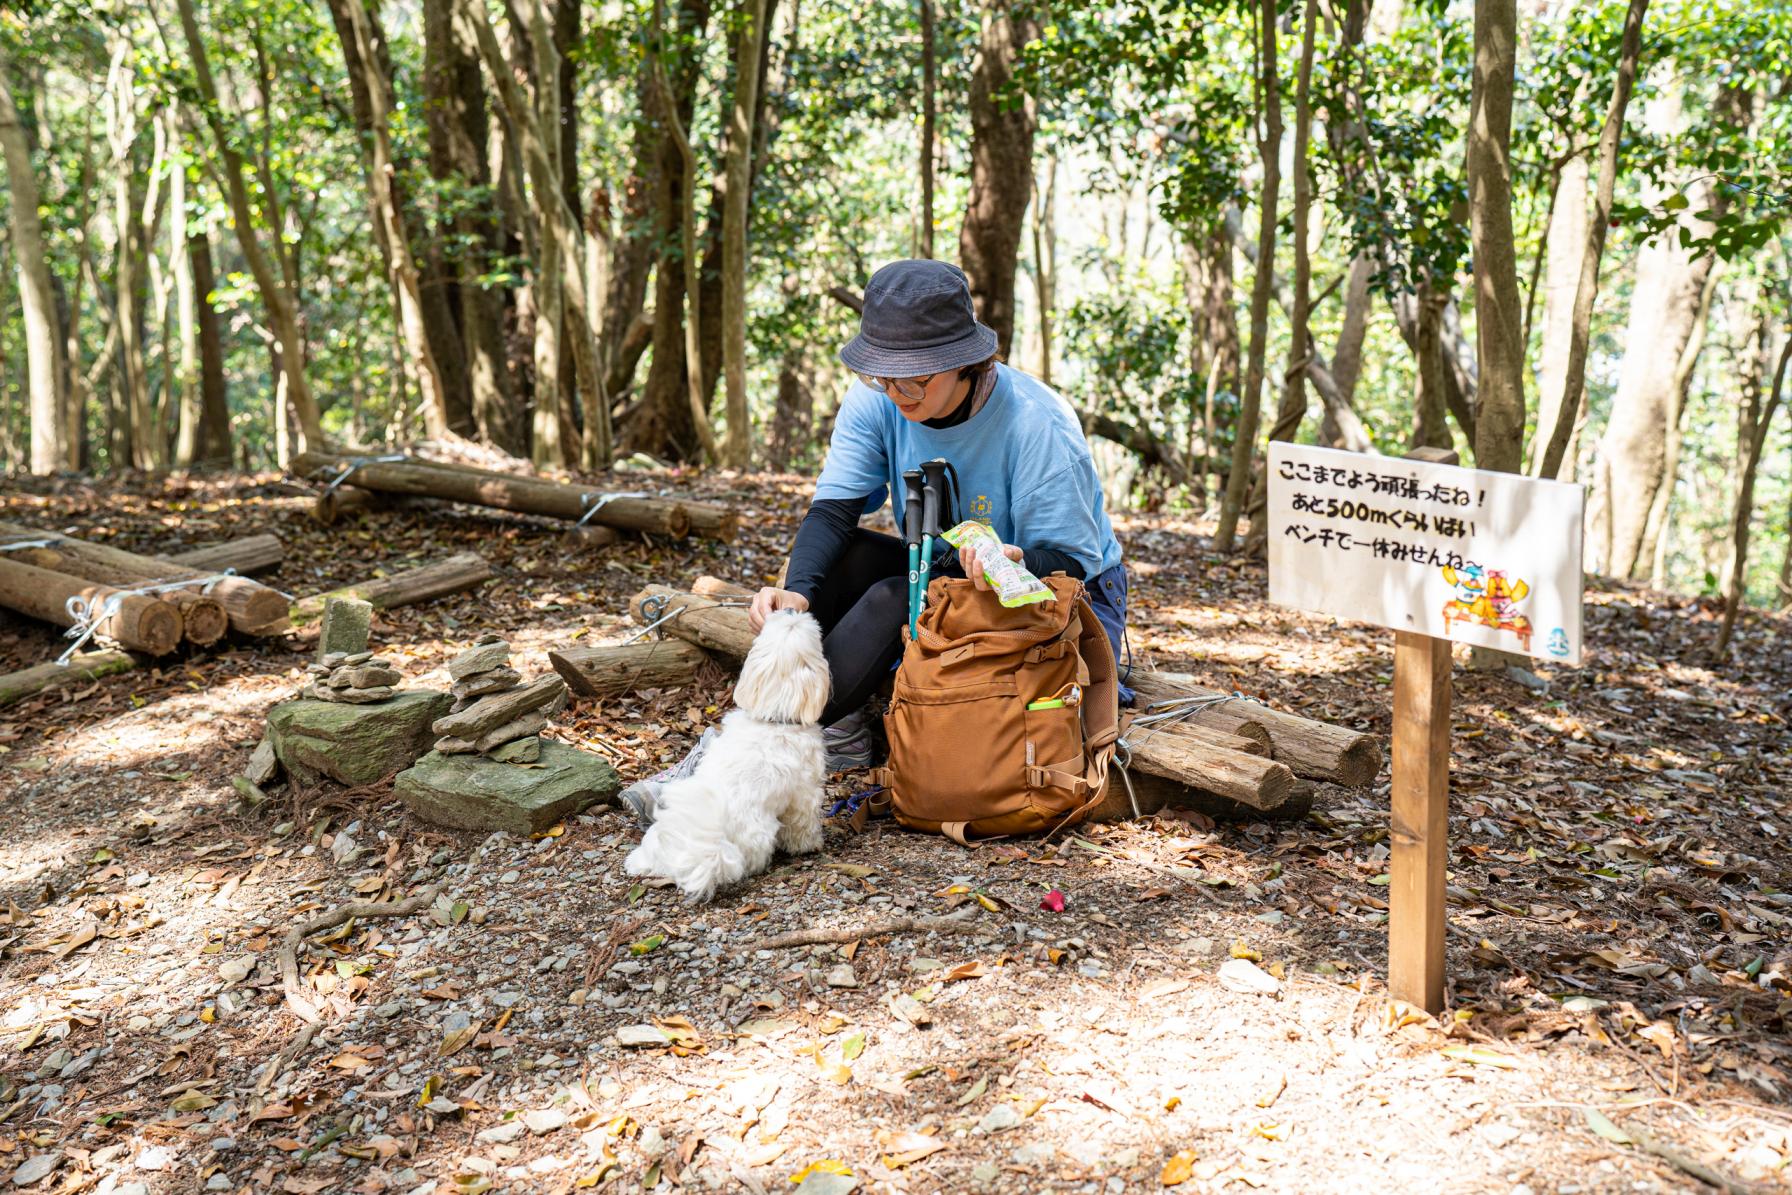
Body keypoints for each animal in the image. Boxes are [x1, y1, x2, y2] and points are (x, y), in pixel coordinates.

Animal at [623, 612, 831, 902]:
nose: (790, 609)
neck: (774, 718)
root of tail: (687, 855)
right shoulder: (804, 792)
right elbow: (803, 822)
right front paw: (810, 845)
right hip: (759, 835)